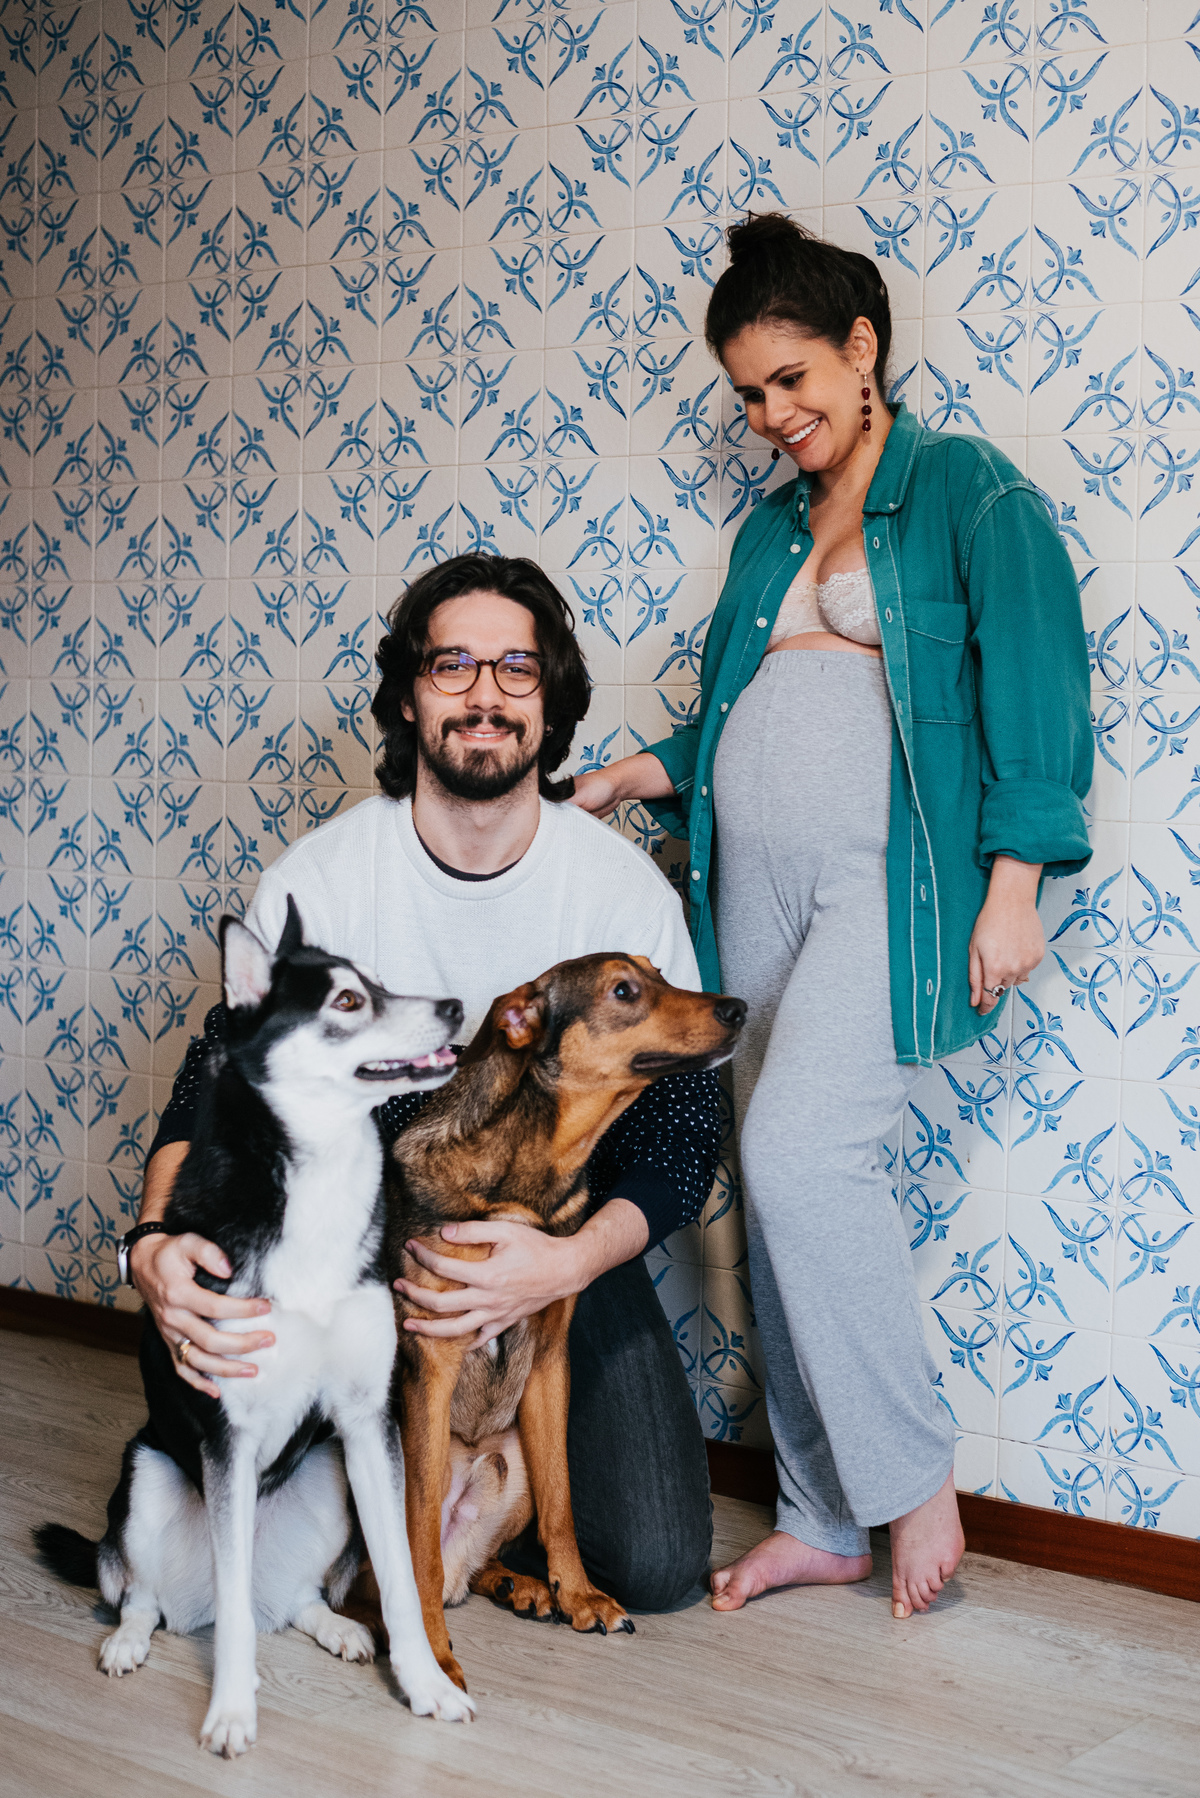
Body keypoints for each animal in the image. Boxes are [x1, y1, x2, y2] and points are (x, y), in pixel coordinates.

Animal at [35, 900, 476, 1754]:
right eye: (348, 1001)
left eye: (377, 981)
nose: (454, 1006)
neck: (317, 1181)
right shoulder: (229, 1435)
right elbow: (234, 1615)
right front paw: (232, 1711)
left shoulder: (367, 1421)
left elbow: (402, 1581)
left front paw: (426, 1684)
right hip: (145, 1479)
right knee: (147, 1593)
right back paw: (128, 1641)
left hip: (330, 1472)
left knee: (291, 1597)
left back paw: (335, 1627)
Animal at [383, 952, 746, 1693]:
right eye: (623, 990)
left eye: (660, 971)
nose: (739, 1008)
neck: (527, 1178)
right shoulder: (431, 1363)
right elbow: (418, 1545)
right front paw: (432, 1656)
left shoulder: (551, 1362)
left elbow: (563, 1503)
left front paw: (577, 1595)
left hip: (511, 1458)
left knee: (473, 1565)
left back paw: (516, 1584)